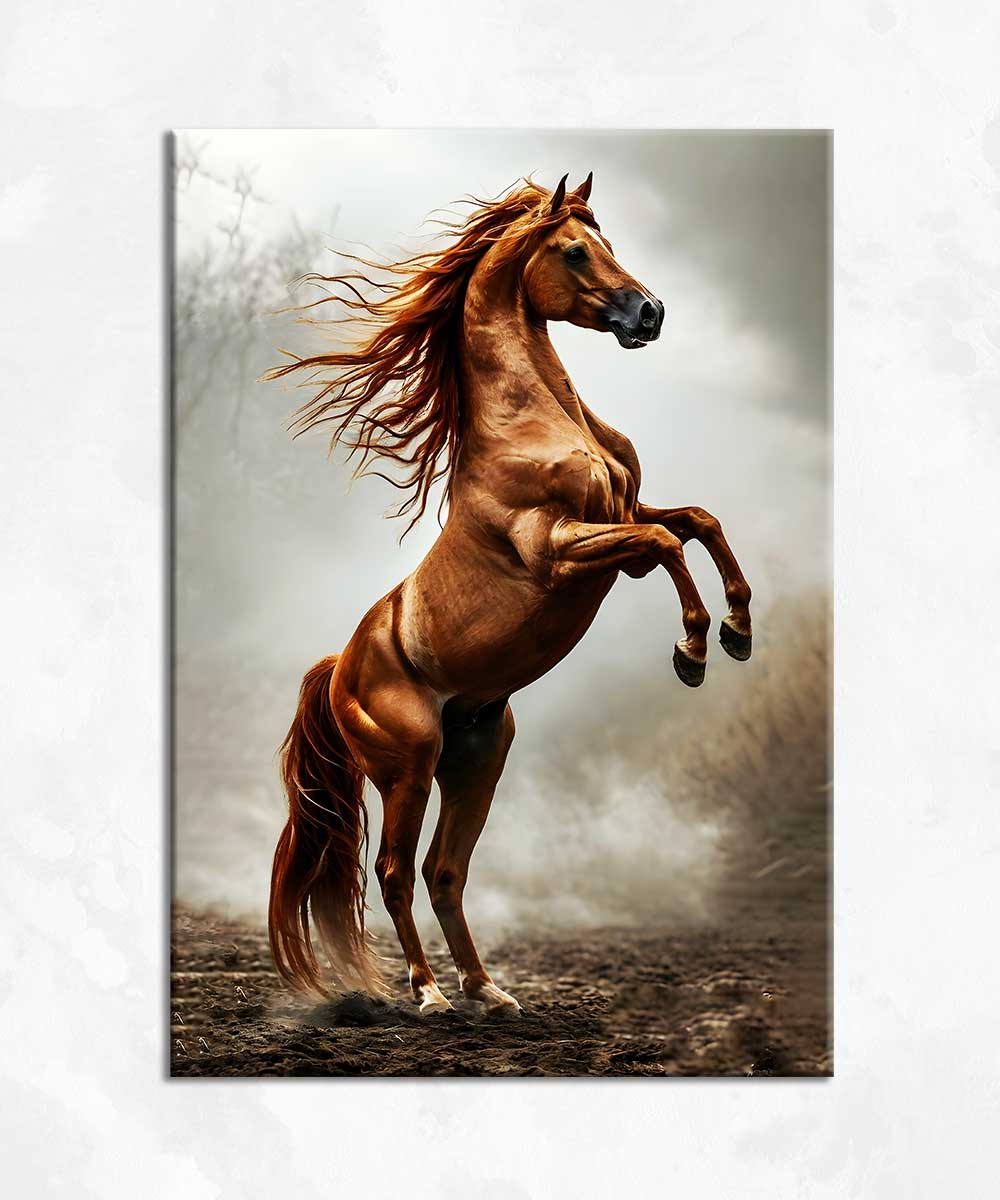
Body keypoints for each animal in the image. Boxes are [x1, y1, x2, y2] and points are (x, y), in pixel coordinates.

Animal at [265, 172, 752, 1013]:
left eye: (608, 242)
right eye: (573, 250)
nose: (650, 313)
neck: (535, 425)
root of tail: (339, 670)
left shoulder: (624, 519)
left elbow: (698, 521)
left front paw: (739, 630)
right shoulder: (562, 551)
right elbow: (667, 546)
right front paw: (693, 649)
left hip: (478, 758)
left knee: (444, 871)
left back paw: (487, 991)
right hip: (408, 767)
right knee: (394, 873)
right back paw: (430, 995)